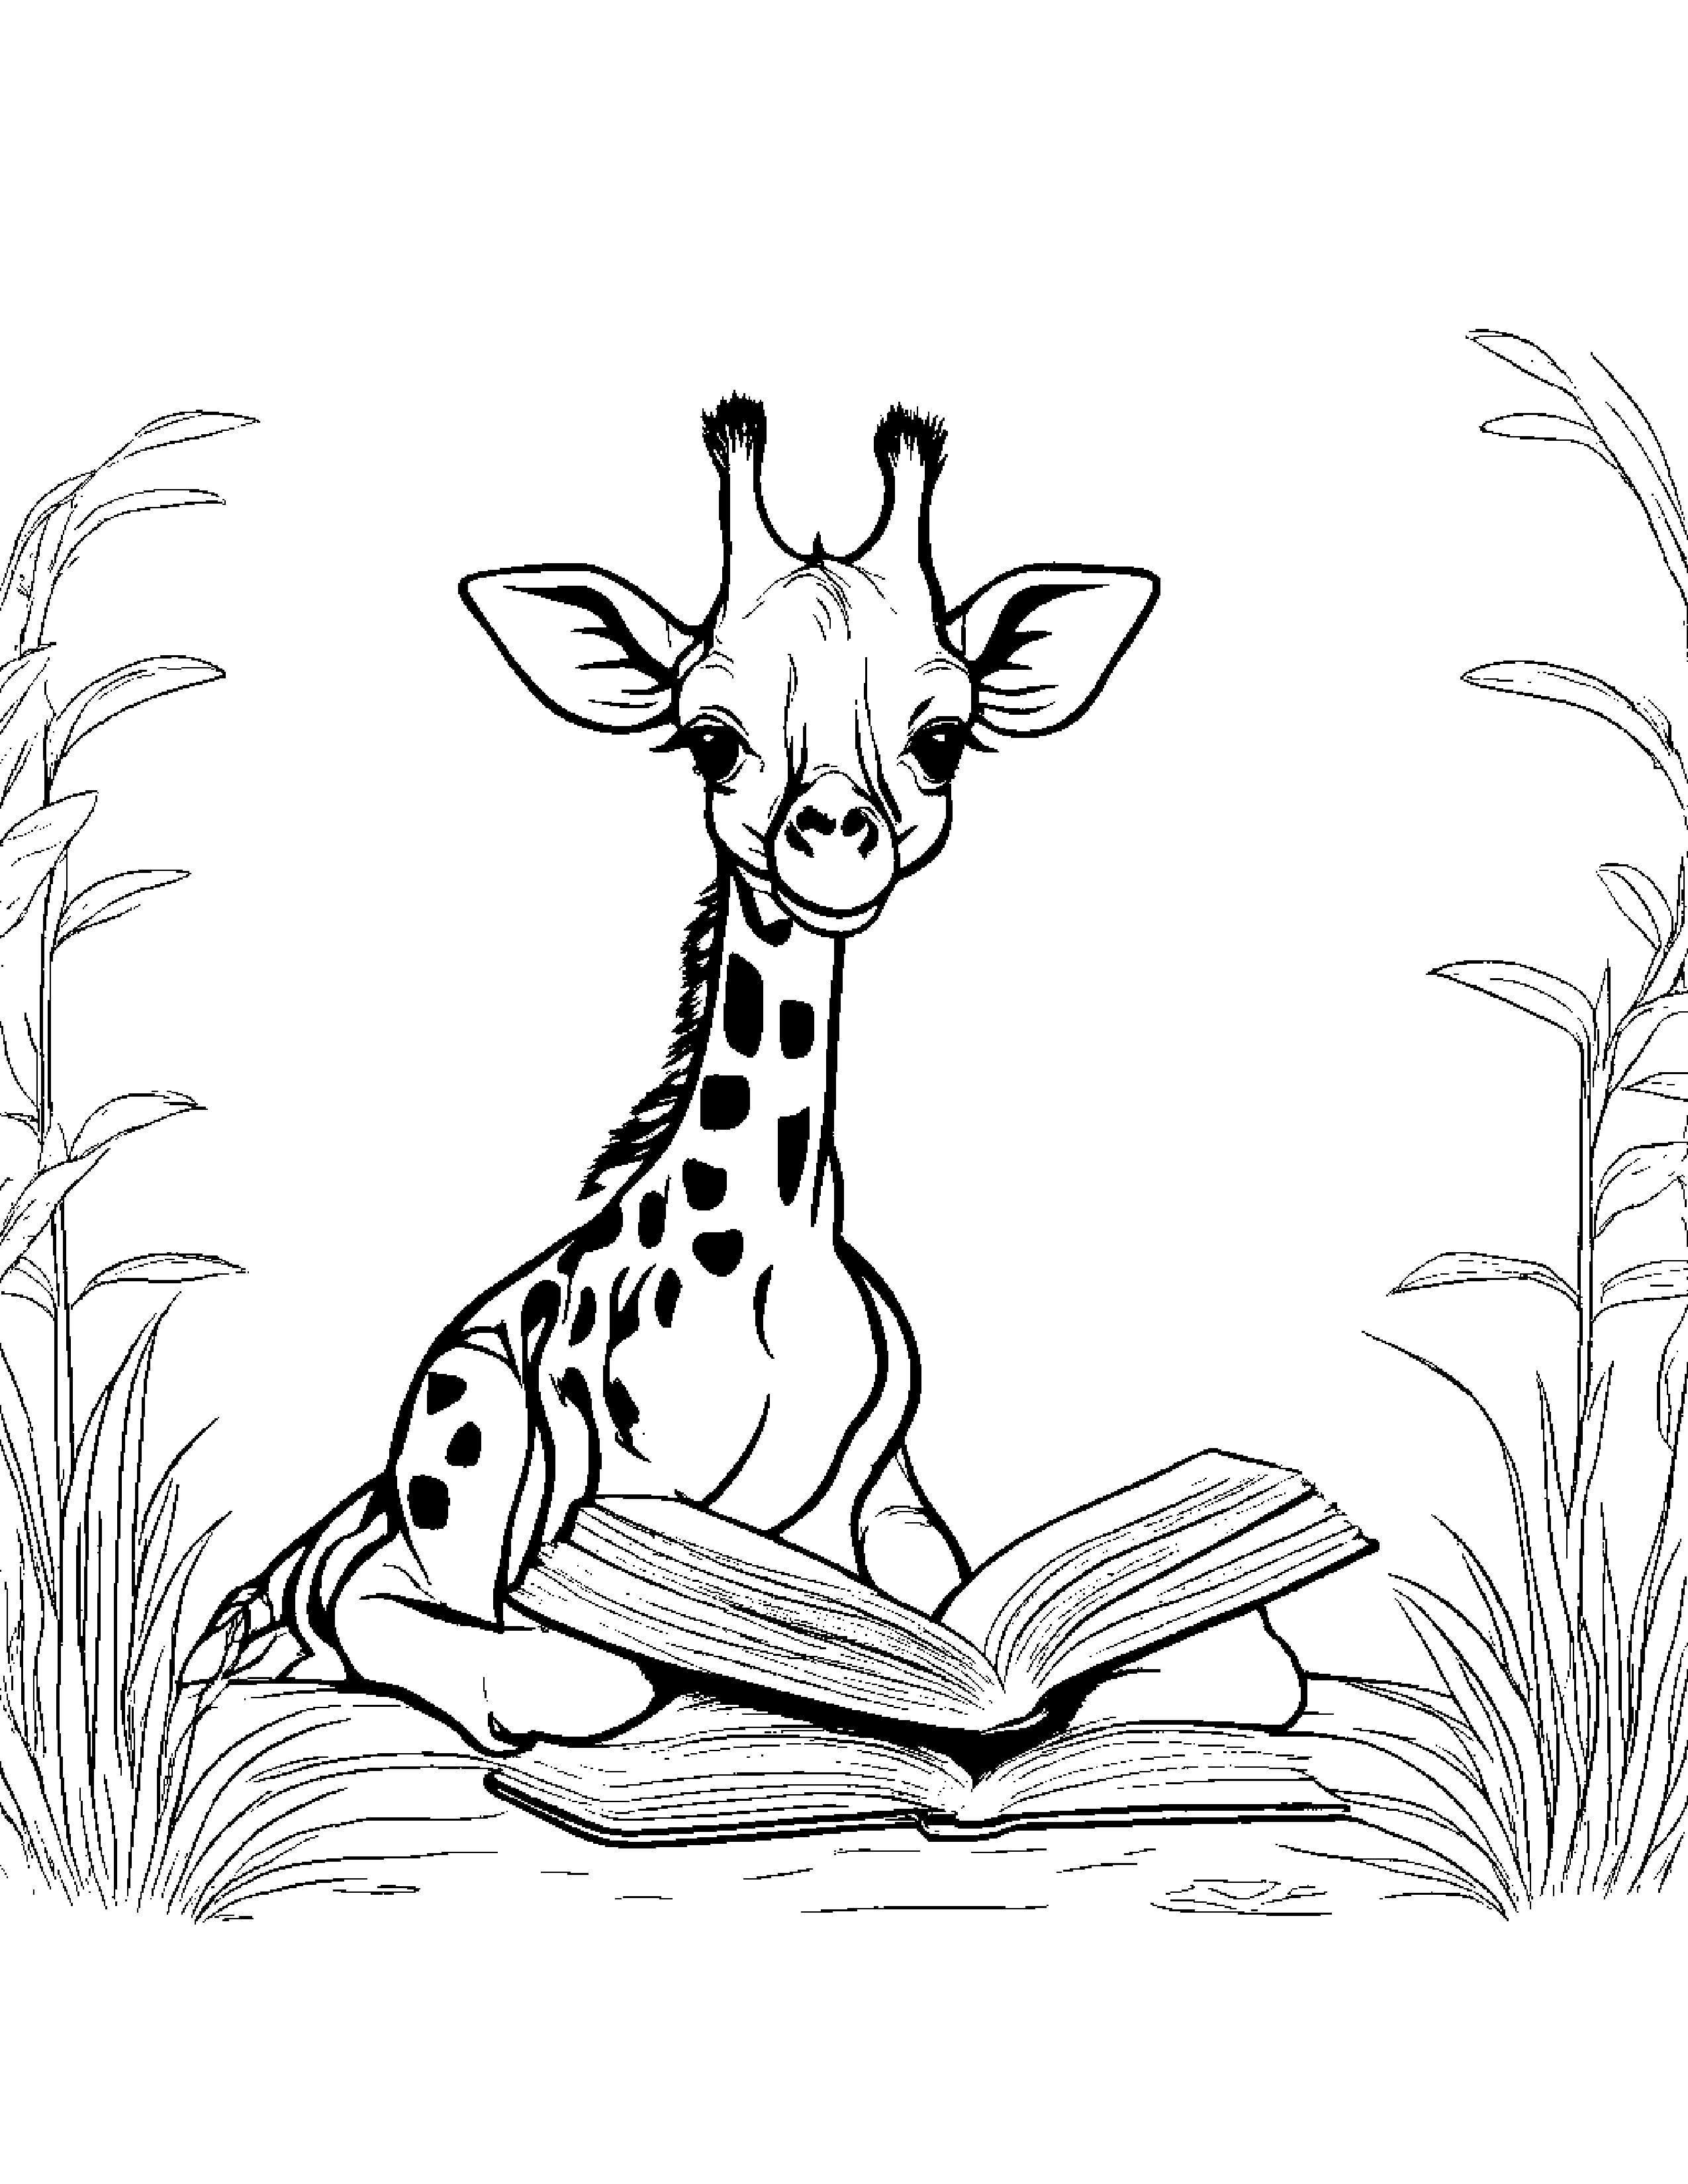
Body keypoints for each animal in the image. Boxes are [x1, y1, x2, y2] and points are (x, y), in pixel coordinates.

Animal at [203, 397, 1306, 1752]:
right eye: (708, 739)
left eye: (943, 736)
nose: (832, 841)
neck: (775, 1264)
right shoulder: (620, 1527)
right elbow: (604, 1669)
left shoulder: (896, 1509)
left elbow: (1241, 1665)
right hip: (462, 1441)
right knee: (381, 1609)